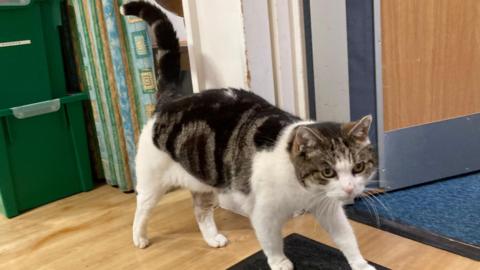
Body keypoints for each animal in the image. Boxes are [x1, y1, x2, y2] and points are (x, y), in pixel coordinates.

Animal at [119, 1, 376, 268]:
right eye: (328, 172)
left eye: (358, 167)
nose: (350, 190)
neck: (302, 188)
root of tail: (172, 99)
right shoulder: (264, 214)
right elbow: (272, 241)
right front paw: (279, 262)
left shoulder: (327, 208)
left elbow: (346, 238)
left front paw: (360, 264)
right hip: (152, 182)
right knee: (142, 208)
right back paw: (139, 237)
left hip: (202, 179)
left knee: (201, 211)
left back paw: (212, 238)